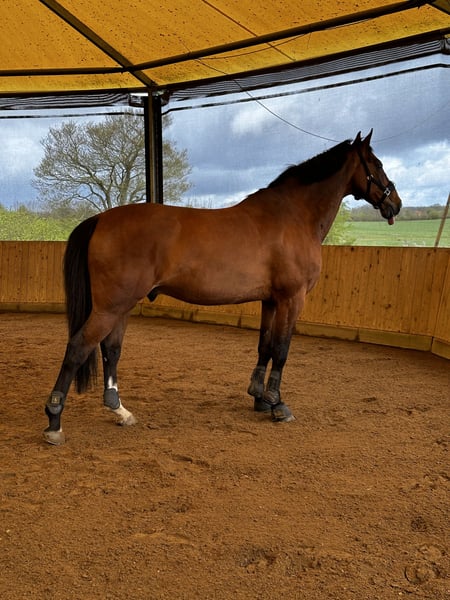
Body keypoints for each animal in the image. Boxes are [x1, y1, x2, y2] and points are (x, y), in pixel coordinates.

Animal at [44, 130, 401, 445]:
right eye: (377, 163)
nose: (395, 203)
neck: (294, 216)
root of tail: (99, 219)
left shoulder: (271, 300)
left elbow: (265, 346)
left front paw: (259, 399)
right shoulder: (292, 298)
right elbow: (282, 349)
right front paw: (278, 404)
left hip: (121, 306)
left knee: (111, 350)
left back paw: (120, 411)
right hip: (111, 306)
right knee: (78, 347)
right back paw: (54, 422)